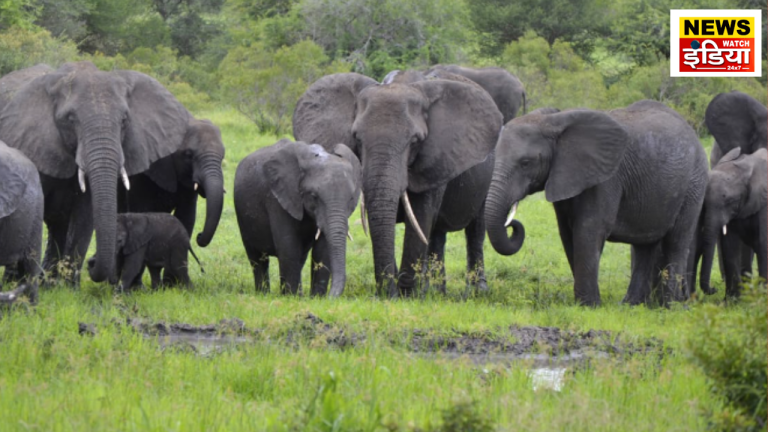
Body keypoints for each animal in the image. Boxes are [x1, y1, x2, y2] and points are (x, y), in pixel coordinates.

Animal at [0, 62, 192, 285]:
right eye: (70, 119)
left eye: (124, 120)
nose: (92, 264)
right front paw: (17, 284)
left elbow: (85, 216)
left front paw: (69, 289)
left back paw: (49, 282)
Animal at [234, 140, 362, 296]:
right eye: (313, 196)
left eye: (351, 199)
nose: (331, 296)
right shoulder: (277, 198)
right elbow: (289, 246)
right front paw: (292, 297)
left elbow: (322, 250)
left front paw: (316, 298)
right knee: (257, 259)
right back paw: (264, 294)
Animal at [294, 73, 503, 297]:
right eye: (357, 138)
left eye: (415, 141)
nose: (388, 293)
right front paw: (396, 293)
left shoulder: (433, 158)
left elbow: (420, 216)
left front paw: (407, 295)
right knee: (437, 235)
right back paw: (435, 291)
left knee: (475, 229)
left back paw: (476, 291)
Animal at [484, 101, 709, 306]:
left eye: (525, 163)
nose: (512, 224)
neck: (553, 121)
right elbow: (567, 233)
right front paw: (585, 304)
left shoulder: (605, 179)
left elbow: (589, 229)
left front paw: (588, 306)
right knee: (645, 246)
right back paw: (631, 305)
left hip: (694, 184)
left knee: (677, 241)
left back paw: (668, 306)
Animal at [699, 148, 767, 297]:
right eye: (704, 203)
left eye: (730, 201)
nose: (713, 289)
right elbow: (730, 246)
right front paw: (732, 300)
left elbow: (763, 243)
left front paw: (763, 295)